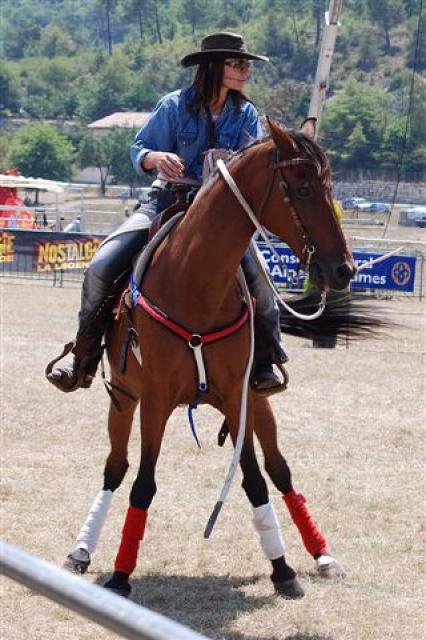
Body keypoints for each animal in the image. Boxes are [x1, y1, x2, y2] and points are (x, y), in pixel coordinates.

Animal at [65, 119, 354, 600]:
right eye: (302, 186)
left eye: (330, 185)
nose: (344, 269)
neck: (193, 279)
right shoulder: (155, 400)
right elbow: (142, 484)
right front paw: (121, 576)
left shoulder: (238, 397)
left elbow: (255, 480)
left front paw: (283, 570)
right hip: (123, 398)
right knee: (115, 468)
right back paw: (82, 550)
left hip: (259, 401)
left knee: (280, 470)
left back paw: (323, 555)